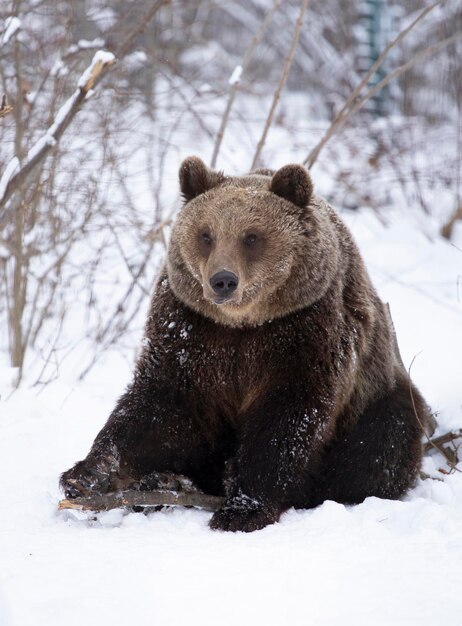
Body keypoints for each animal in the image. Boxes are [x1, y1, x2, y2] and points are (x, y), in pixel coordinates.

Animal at [60, 157, 430, 532]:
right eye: (206, 235)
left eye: (252, 237)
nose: (223, 280)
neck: (245, 324)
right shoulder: (191, 332)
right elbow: (161, 406)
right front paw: (85, 475)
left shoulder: (306, 331)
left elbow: (288, 418)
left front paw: (243, 508)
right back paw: (165, 482)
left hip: (377, 397)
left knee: (382, 443)